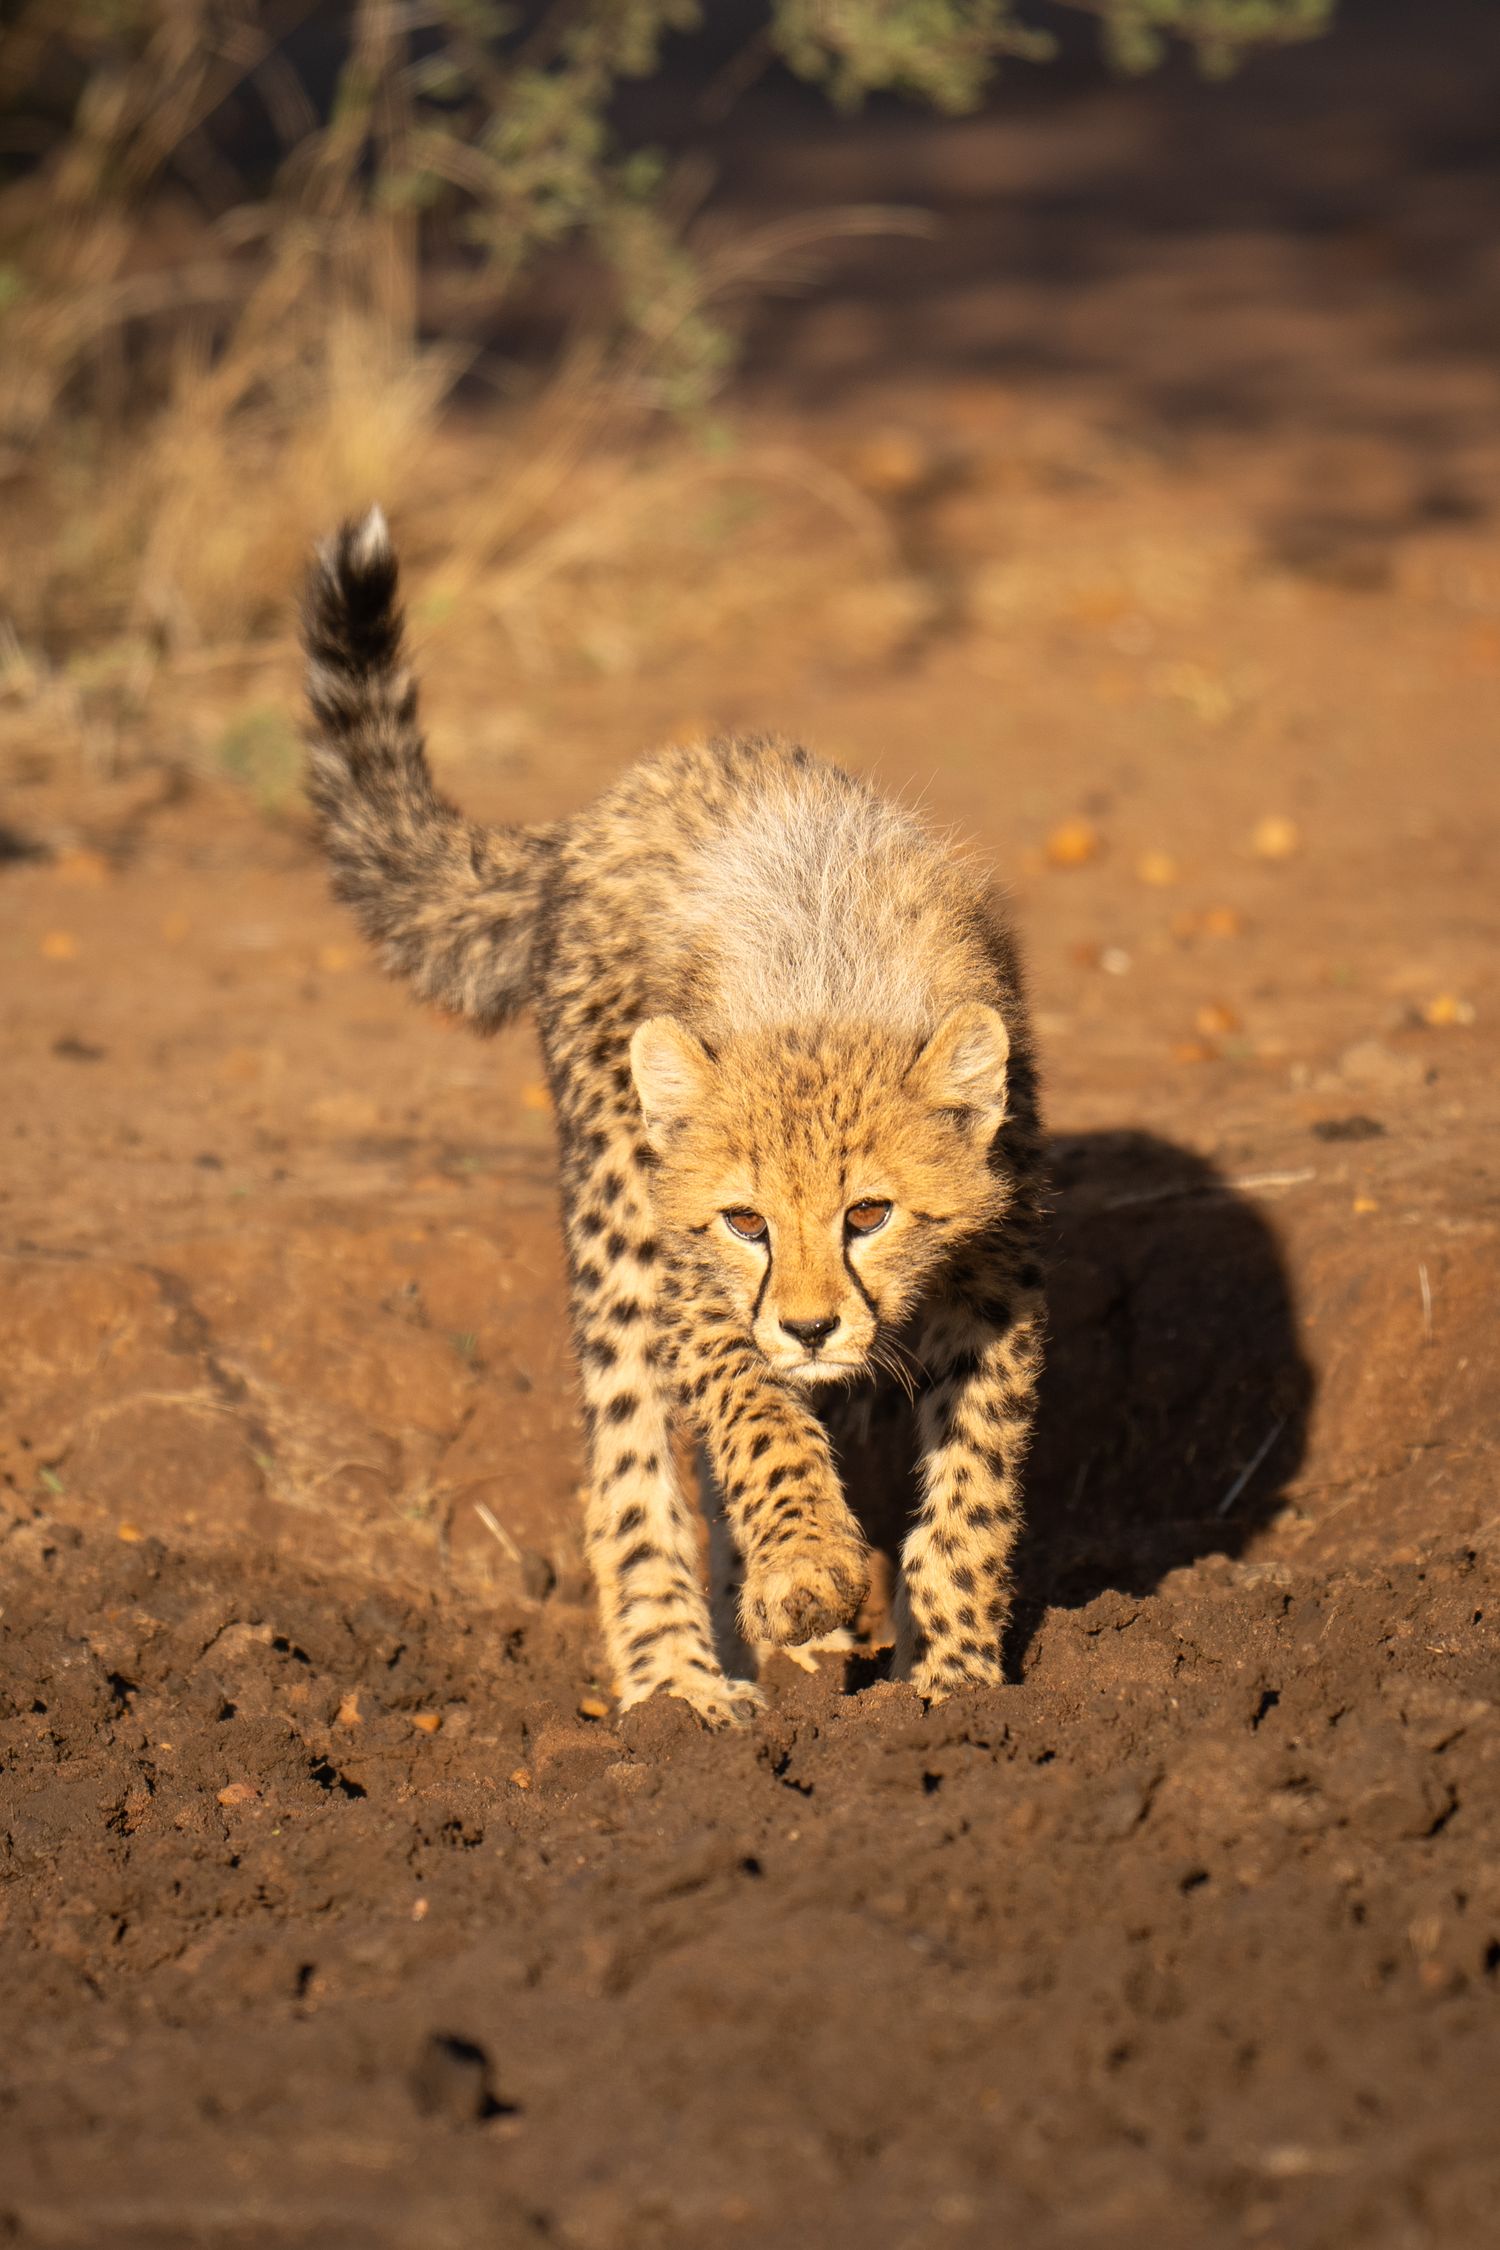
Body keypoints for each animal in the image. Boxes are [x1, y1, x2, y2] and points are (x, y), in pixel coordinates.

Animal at [301, 508, 1047, 1726]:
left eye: (869, 1214)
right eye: (747, 1222)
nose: (810, 1326)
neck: (822, 985)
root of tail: (624, 796)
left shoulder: (997, 1276)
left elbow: (973, 1486)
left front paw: (953, 1680)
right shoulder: (692, 1270)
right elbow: (757, 1423)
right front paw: (809, 1569)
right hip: (615, 1209)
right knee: (635, 1455)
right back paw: (677, 1685)